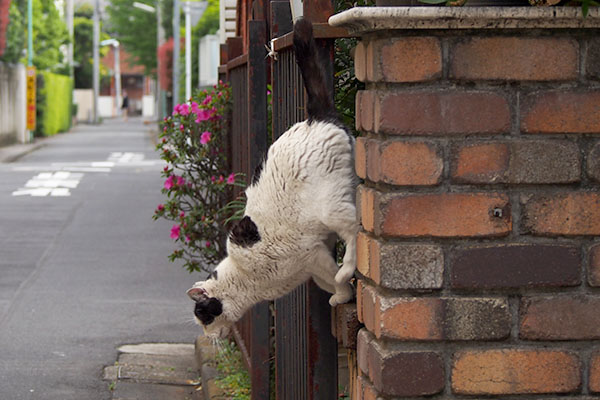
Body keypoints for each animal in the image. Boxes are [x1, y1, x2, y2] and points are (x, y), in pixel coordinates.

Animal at [188, 17, 356, 340]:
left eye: (201, 316)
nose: (206, 336)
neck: (246, 281)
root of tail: (314, 118)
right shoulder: (315, 263)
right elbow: (327, 282)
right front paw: (343, 296)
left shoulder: (312, 256)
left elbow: (333, 277)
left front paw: (343, 291)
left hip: (332, 207)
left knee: (356, 229)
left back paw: (349, 266)